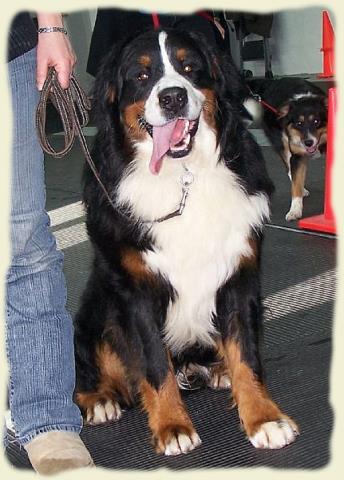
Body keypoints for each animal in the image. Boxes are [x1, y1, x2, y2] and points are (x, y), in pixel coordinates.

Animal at [73, 28, 298, 456]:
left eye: (190, 68)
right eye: (142, 76)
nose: (173, 97)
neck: (183, 177)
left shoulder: (239, 276)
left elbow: (247, 354)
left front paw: (263, 417)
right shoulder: (135, 291)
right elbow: (154, 363)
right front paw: (172, 426)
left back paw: (218, 370)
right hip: (95, 307)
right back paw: (100, 399)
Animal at [247, 78, 328, 222]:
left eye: (316, 121)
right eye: (299, 123)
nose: (308, 143)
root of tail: (270, 82)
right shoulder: (297, 155)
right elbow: (295, 185)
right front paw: (294, 210)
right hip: (281, 142)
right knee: (289, 169)